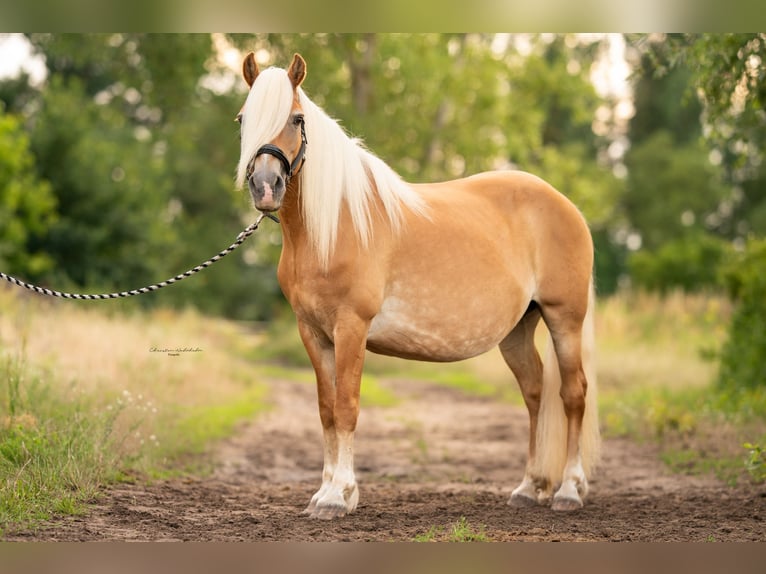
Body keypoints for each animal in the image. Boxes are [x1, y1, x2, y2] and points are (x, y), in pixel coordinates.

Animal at [237, 53, 604, 520]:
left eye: (297, 118)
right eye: (243, 118)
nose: (266, 187)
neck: (333, 225)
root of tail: (567, 206)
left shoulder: (351, 328)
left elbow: (347, 407)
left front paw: (339, 495)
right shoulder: (313, 333)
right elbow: (325, 410)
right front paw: (323, 494)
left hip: (564, 319)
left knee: (573, 395)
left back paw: (569, 490)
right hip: (519, 330)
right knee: (535, 392)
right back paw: (530, 486)